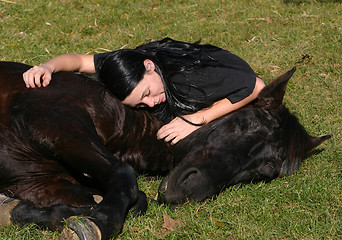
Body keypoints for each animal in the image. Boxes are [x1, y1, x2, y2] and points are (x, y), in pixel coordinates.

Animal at [0, 62, 332, 240]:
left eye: (264, 172)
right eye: (243, 121)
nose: (191, 189)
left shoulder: (37, 182)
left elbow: (135, 198)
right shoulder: (52, 121)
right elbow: (125, 177)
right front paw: (101, 220)